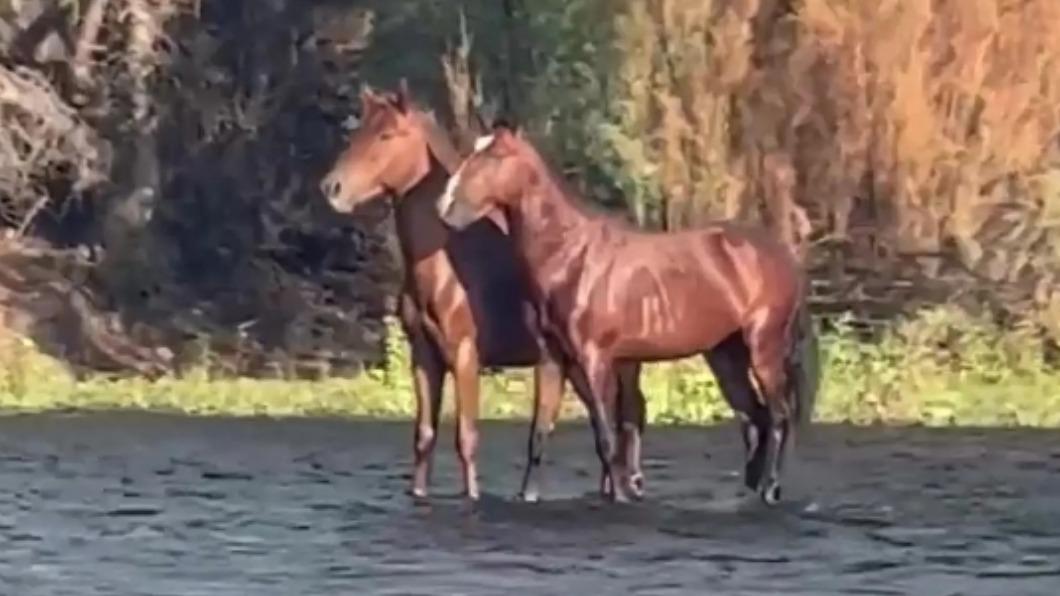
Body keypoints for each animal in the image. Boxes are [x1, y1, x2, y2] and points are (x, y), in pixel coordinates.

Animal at [319, 82, 650, 502]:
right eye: (358, 132)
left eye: (387, 135)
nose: (332, 187)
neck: (449, 259)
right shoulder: (424, 358)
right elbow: (424, 437)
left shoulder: (465, 355)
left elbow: (467, 437)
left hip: (616, 363)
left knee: (627, 419)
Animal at [436, 122, 820, 505]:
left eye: (495, 156)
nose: (446, 205)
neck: (571, 256)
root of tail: (784, 257)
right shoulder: (551, 359)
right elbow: (540, 432)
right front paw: (528, 495)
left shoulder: (595, 359)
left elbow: (607, 434)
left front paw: (621, 494)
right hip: (726, 357)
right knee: (756, 417)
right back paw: (751, 489)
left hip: (763, 348)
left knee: (779, 416)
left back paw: (770, 488)